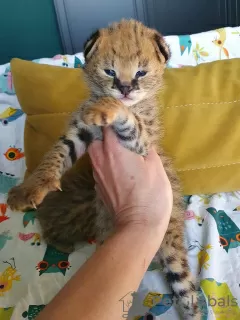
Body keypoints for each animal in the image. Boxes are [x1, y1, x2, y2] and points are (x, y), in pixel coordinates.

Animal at [7, 20, 201, 320]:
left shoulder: (142, 145)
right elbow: (55, 155)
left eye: (141, 72)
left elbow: (129, 120)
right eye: (109, 71)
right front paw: (29, 189)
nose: (124, 89)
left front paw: (114, 107)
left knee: (187, 291)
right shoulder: (78, 132)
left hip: (172, 251)